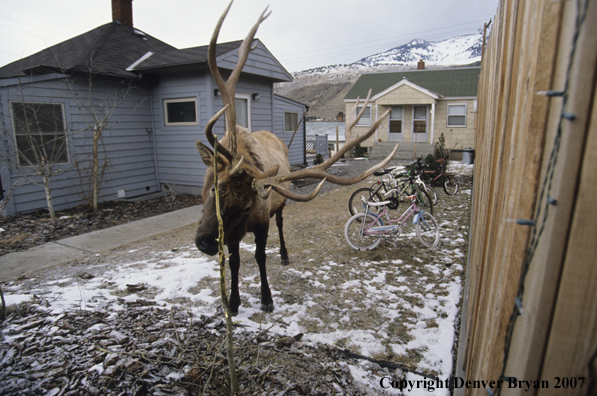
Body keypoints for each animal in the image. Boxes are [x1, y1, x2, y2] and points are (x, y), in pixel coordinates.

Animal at [198, 1, 398, 314]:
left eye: (246, 206)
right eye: (213, 190)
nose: (205, 242)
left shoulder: (259, 221)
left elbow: (259, 257)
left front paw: (266, 299)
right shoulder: (230, 233)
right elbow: (235, 261)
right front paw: (233, 302)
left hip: (280, 207)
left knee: (281, 227)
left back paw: (284, 254)